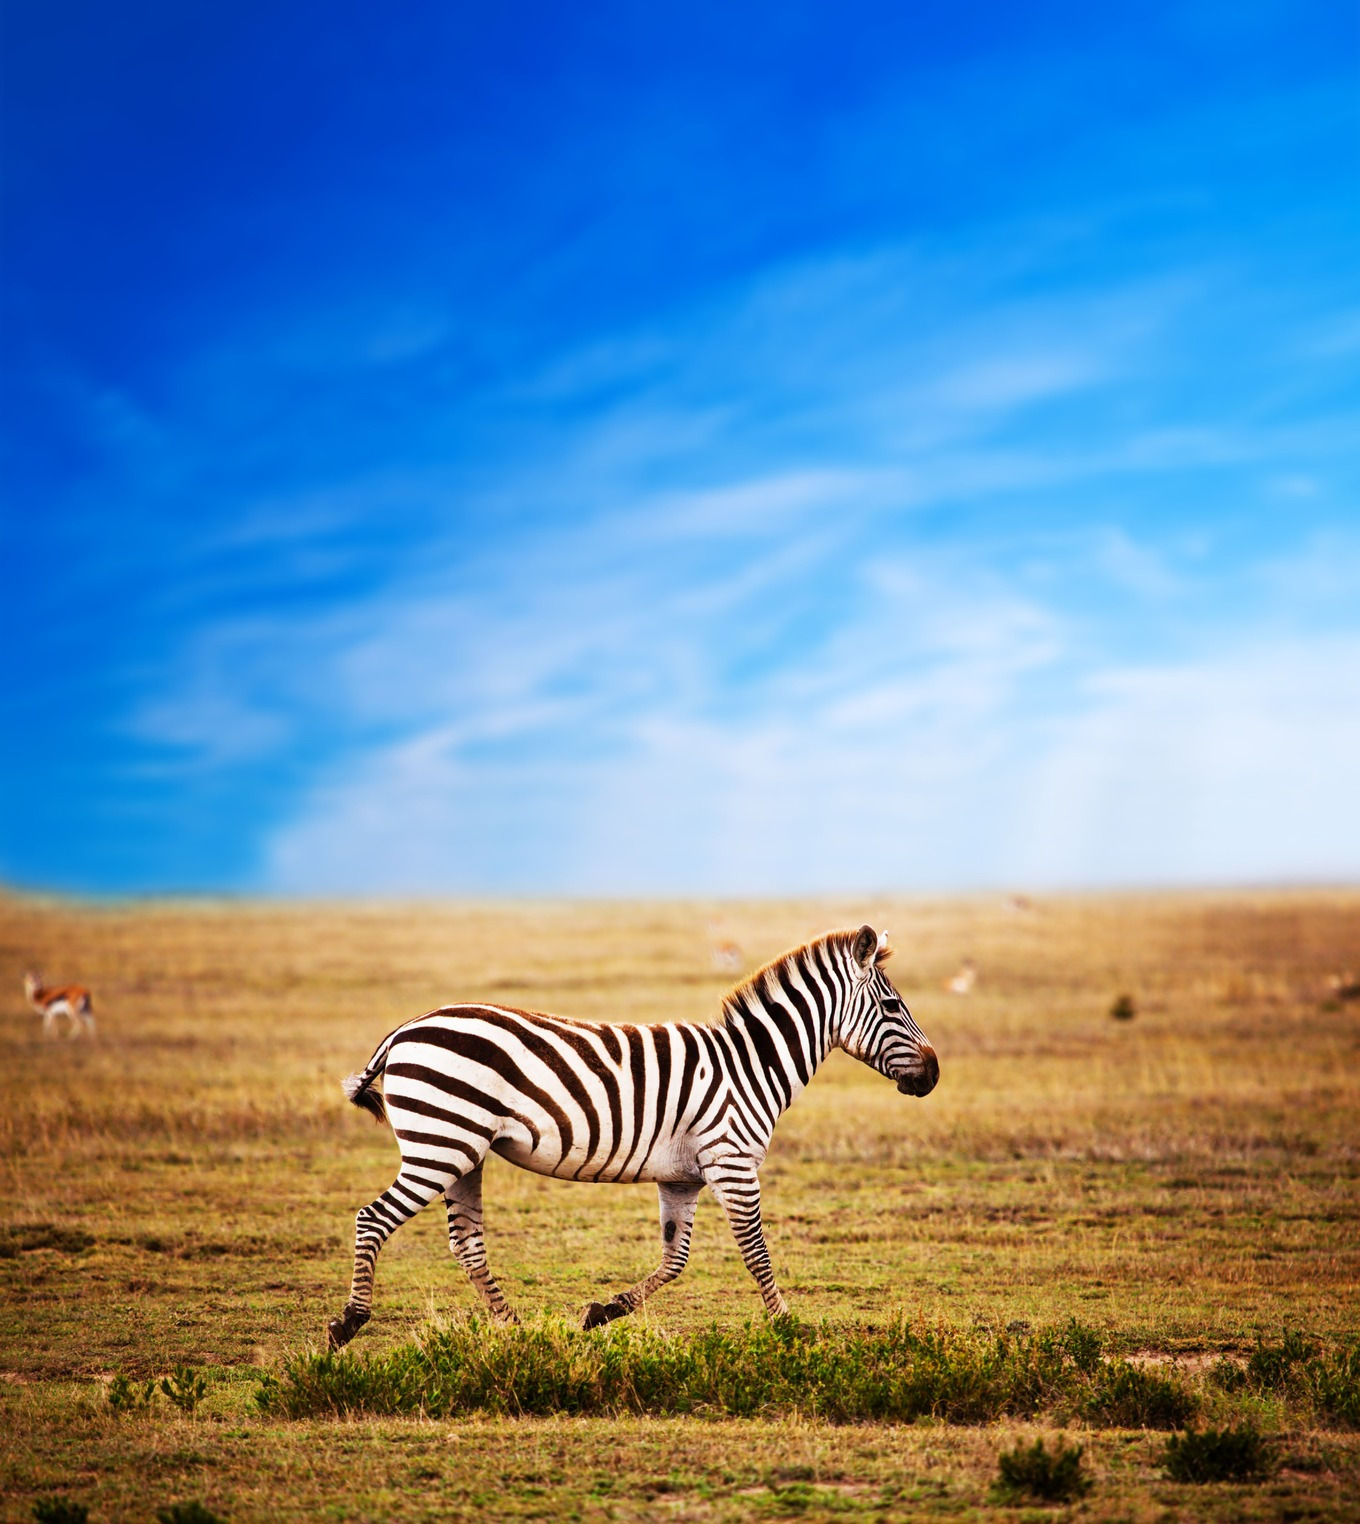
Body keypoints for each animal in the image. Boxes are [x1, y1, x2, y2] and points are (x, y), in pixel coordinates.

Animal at [327, 923, 938, 1349]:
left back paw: (519, 1330)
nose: (933, 1074)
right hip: (440, 1143)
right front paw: (788, 1329)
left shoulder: (683, 1178)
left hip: (465, 1151)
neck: (751, 1064)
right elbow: (757, 1253)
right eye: (892, 1005)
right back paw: (350, 1323)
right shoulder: (733, 1162)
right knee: (372, 1218)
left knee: (467, 1243)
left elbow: (676, 1258)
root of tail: (406, 1029)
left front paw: (604, 1312)